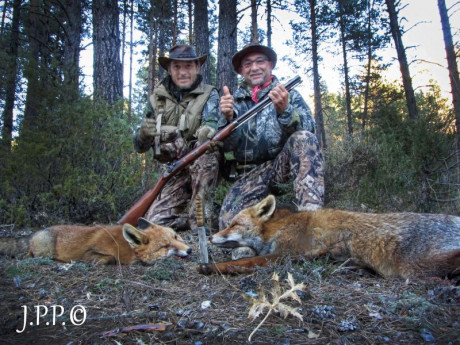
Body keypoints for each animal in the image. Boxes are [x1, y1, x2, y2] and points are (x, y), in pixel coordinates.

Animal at [199, 195, 460, 278]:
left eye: (234, 224)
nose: (210, 238)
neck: (281, 227)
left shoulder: (285, 255)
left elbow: (241, 262)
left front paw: (209, 266)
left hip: (414, 267)